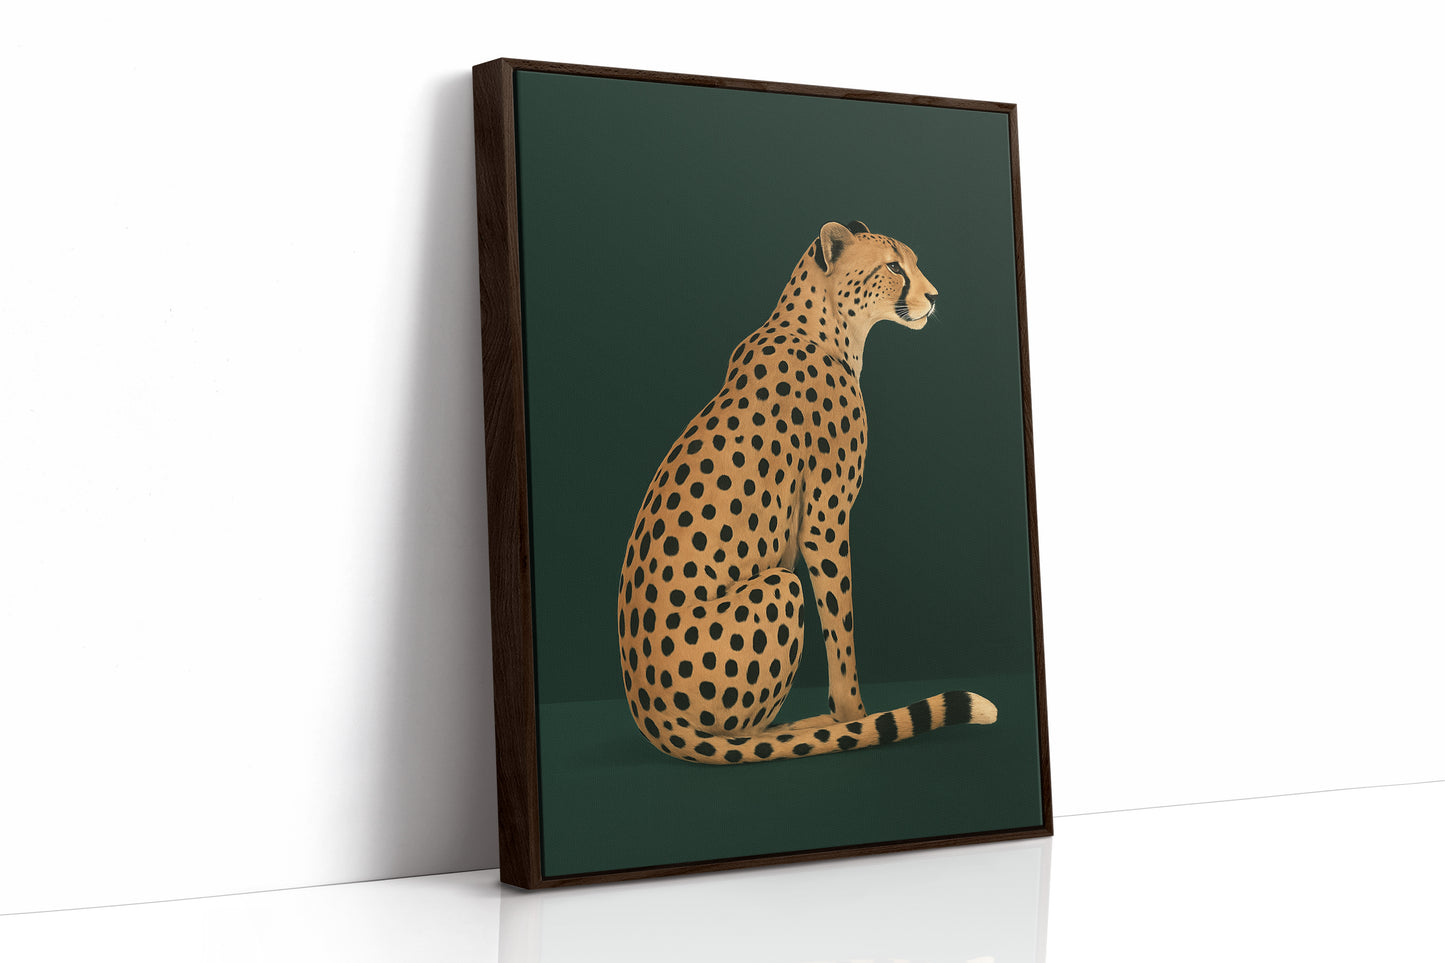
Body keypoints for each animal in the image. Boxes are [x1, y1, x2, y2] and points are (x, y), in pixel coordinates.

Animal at [617, 220, 997, 764]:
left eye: (913, 261)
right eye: (893, 266)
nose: (933, 296)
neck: (824, 324)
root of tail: (649, 713)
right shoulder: (824, 520)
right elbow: (841, 625)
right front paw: (853, 716)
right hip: (781, 586)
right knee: (739, 737)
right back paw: (809, 728)